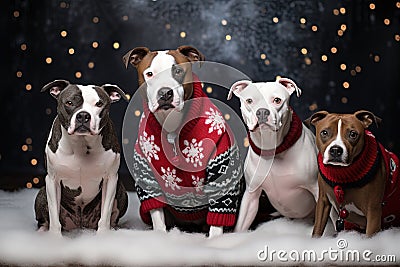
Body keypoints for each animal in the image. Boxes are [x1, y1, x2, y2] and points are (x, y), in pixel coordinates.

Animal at [122, 46, 241, 239]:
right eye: (149, 74)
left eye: (178, 71)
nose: (165, 93)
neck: (172, 125)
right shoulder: (146, 172)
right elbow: (157, 214)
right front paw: (160, 235)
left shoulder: (221, 167)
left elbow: (218, 212)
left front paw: (215, 240)